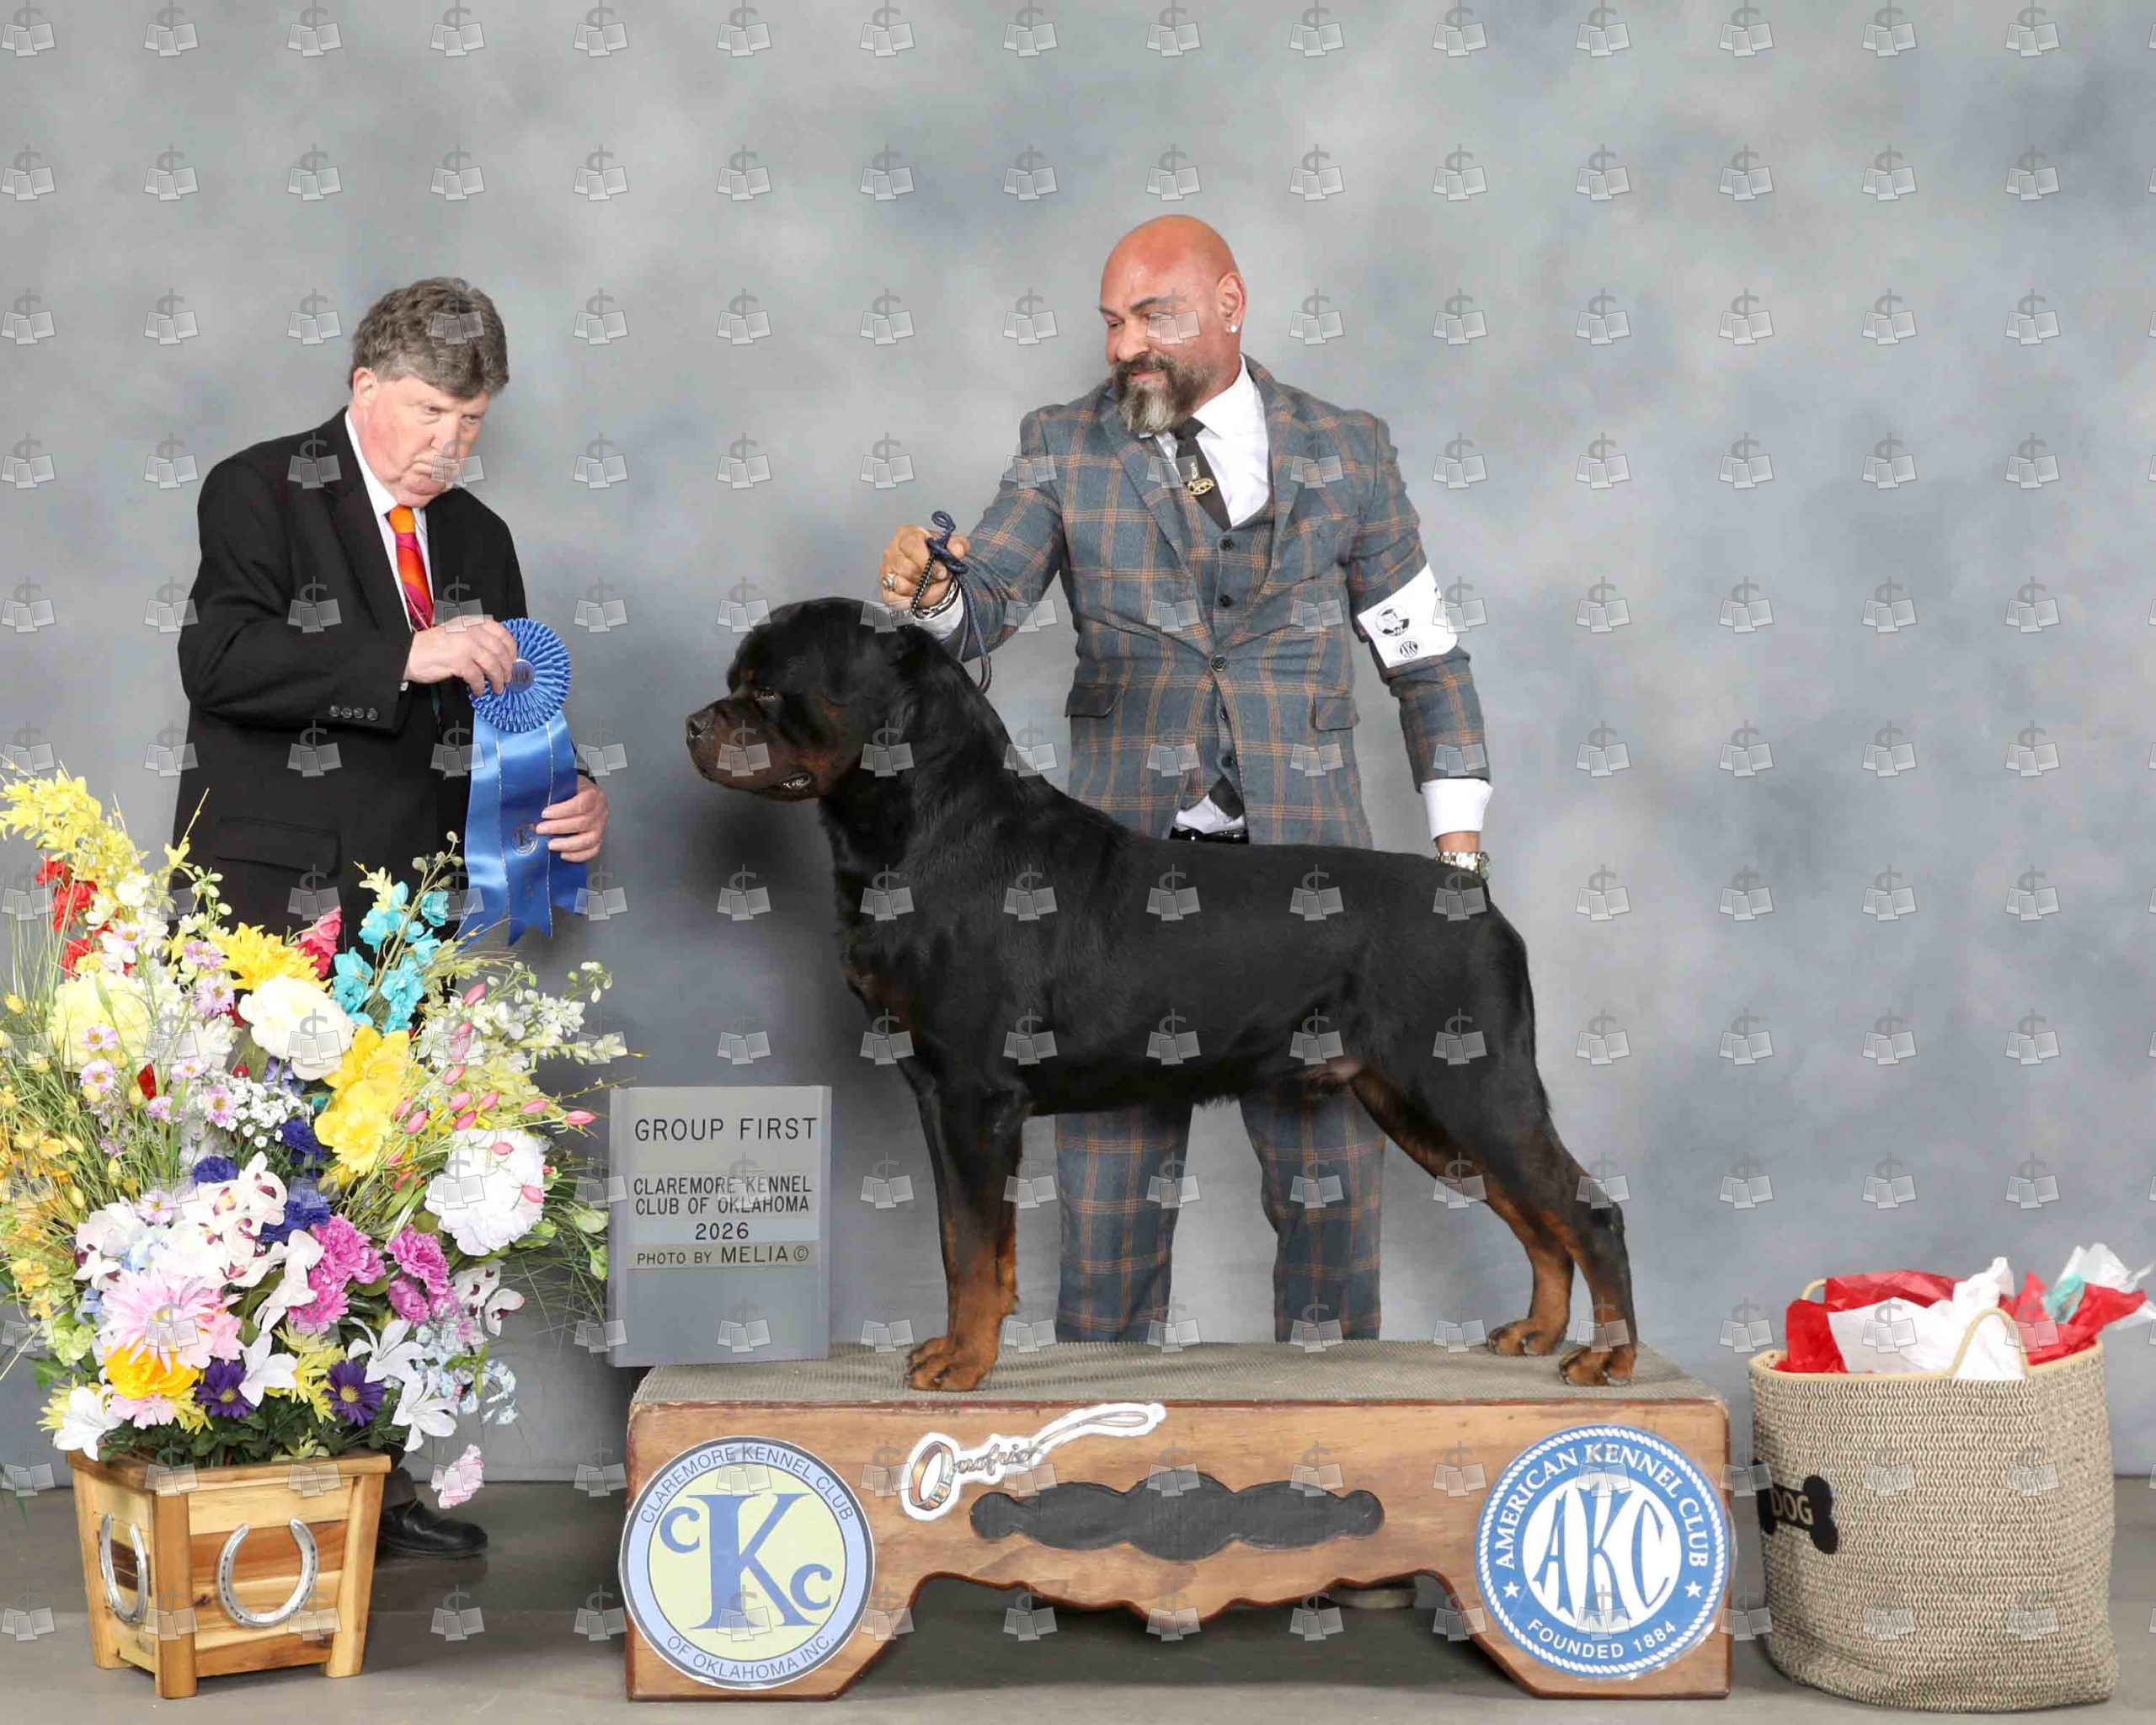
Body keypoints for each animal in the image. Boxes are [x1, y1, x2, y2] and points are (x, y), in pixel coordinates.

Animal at [687, 599, 1637, 1392]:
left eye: (765, 687)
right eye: (735, 680)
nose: (695, 722)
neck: (929, 827)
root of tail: (1472, 894)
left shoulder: (973, 1095)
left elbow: (971, 1249)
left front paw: (963, 1364)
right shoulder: (939, 1093)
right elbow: (971, 1246)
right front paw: (961, 1349)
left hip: (1473, 1083)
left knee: (1585, 1210)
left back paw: (1608, 1355)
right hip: (1419, 1105)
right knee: (1534, 1216)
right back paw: (1537, 1333)